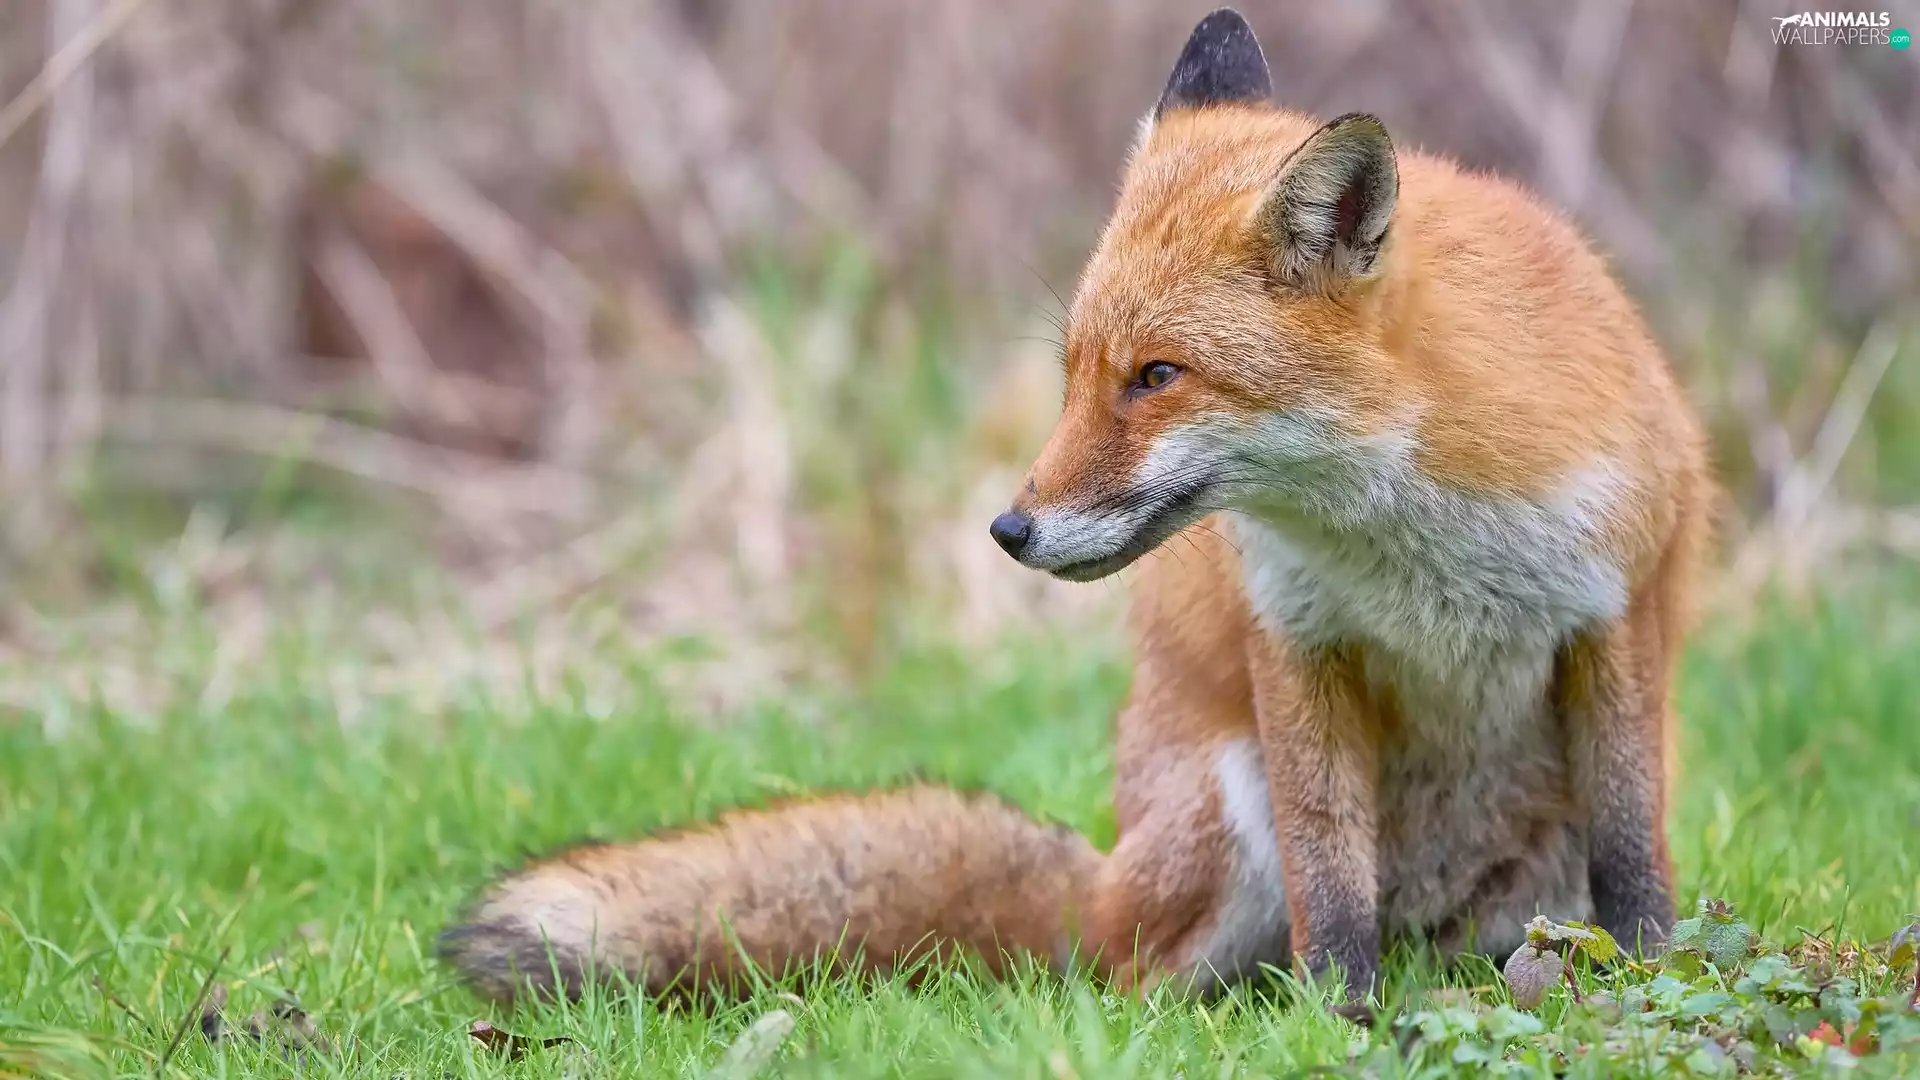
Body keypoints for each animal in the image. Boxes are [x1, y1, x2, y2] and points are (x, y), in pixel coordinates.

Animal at [441, 9, 1710, 1012]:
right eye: (1077, 373)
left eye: (1157, 377)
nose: (1010, 532)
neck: (1420, 533)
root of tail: (1100, 881)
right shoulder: (1299, 642)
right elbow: (1333, 890)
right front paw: (1341, 1029)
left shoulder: (1614, 616)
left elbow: (1636, 871)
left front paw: (1649, 987)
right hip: (1225, 812)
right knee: (1132, 981)